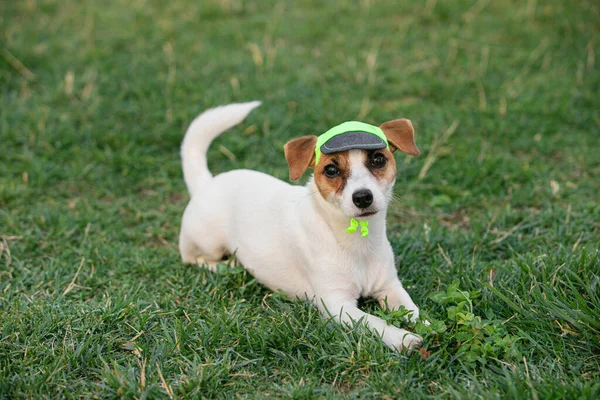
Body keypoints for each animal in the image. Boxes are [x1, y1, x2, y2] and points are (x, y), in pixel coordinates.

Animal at [180, 101, 424, 352]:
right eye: (331, 170)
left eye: (378, 159)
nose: (363, 197)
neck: (356, 239)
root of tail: (207, 182)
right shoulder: (338, 306)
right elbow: (374, 322)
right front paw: (402, 338)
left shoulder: (390, 286)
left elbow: (412, 310)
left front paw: (423, 324)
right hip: (208, 243)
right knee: (192, 257)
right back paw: (226, 266)